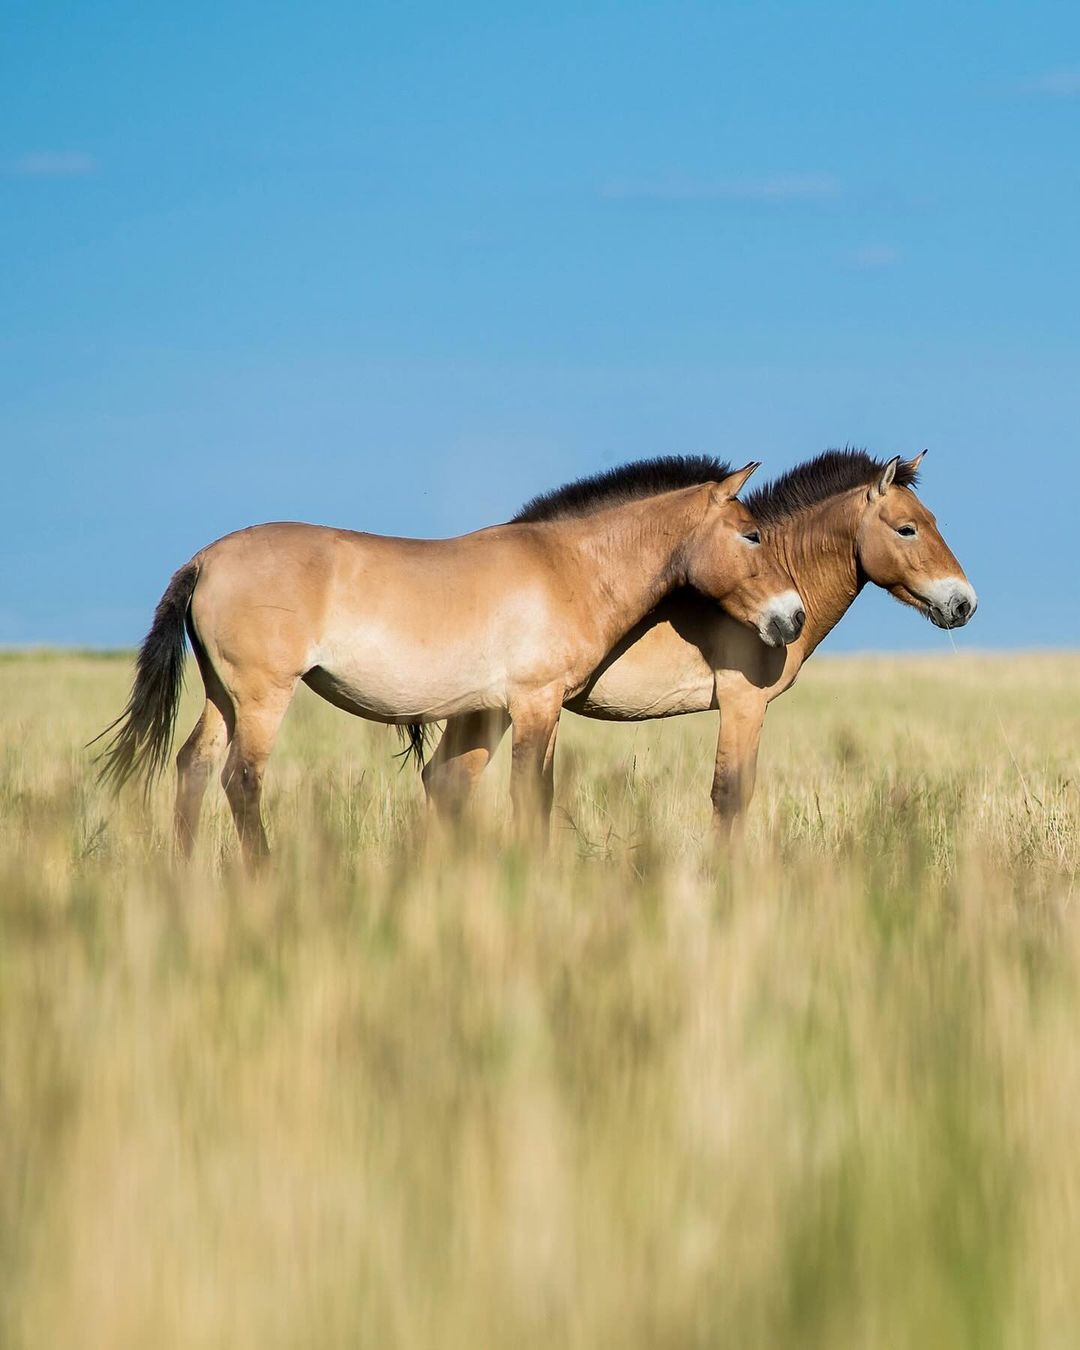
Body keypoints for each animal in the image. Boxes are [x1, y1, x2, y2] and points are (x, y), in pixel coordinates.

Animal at [93, 456, 804, 864]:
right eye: (751, 534)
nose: (792, 617)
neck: (568, 568)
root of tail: (206, 558)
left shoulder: (526, 709)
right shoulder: (534, 703)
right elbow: (528, 794)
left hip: (224, 697)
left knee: (192, 768)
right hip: (264, 698)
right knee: (240, 779)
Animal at [421, 450, 977, 831]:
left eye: (932, 522)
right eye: (907, 529)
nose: (963, 603)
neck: (782, 569)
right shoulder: (743, 703)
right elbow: (730, 796)